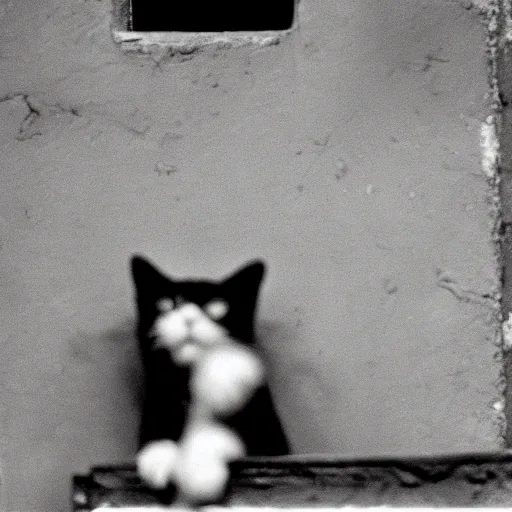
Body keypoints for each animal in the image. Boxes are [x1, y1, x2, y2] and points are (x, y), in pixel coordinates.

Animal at [130, 256, 290, 500]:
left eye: (217, 306)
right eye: (167, 304)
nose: (189, 318)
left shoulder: (269, 437)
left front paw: (199, 469)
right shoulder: (158, 394)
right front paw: (158, 455)